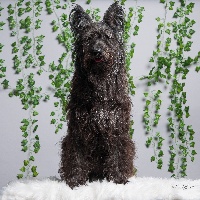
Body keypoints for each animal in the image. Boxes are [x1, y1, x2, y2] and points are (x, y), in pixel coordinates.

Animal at [58, 2, 135, 188]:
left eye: (107, 37)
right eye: (88, 39)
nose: (96, 51)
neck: (100, 79)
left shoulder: (117, 126)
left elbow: (118, 154)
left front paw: (118, 178)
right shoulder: (78, 127)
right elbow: (76, 156)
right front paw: (76, 181)